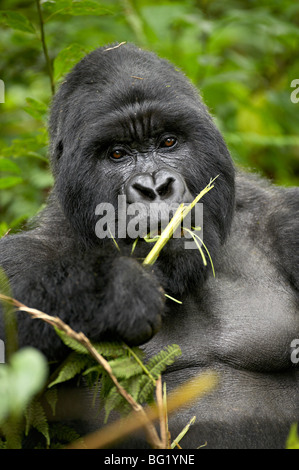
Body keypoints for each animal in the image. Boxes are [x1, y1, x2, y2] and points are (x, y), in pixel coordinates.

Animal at [0, 43, 299, 448]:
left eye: (168, 141)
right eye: (117, 154)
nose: (154, 187)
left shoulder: (286, 220)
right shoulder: (26, 252)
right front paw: (115, 289)